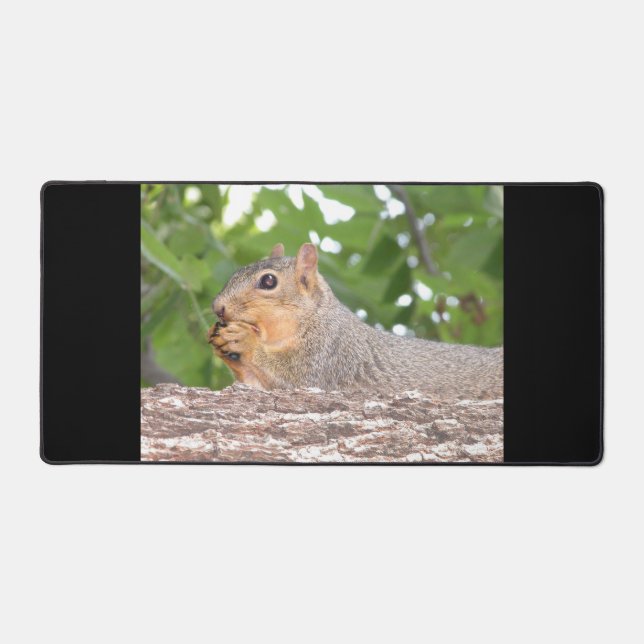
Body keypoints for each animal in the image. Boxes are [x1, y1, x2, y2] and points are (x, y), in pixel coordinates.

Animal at [207, 243, 503, 398]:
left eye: (268, 281)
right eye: (237, 271)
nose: (218, 307)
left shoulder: (329, 352)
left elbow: (296, 375)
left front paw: (244, 340)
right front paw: (221, 342)